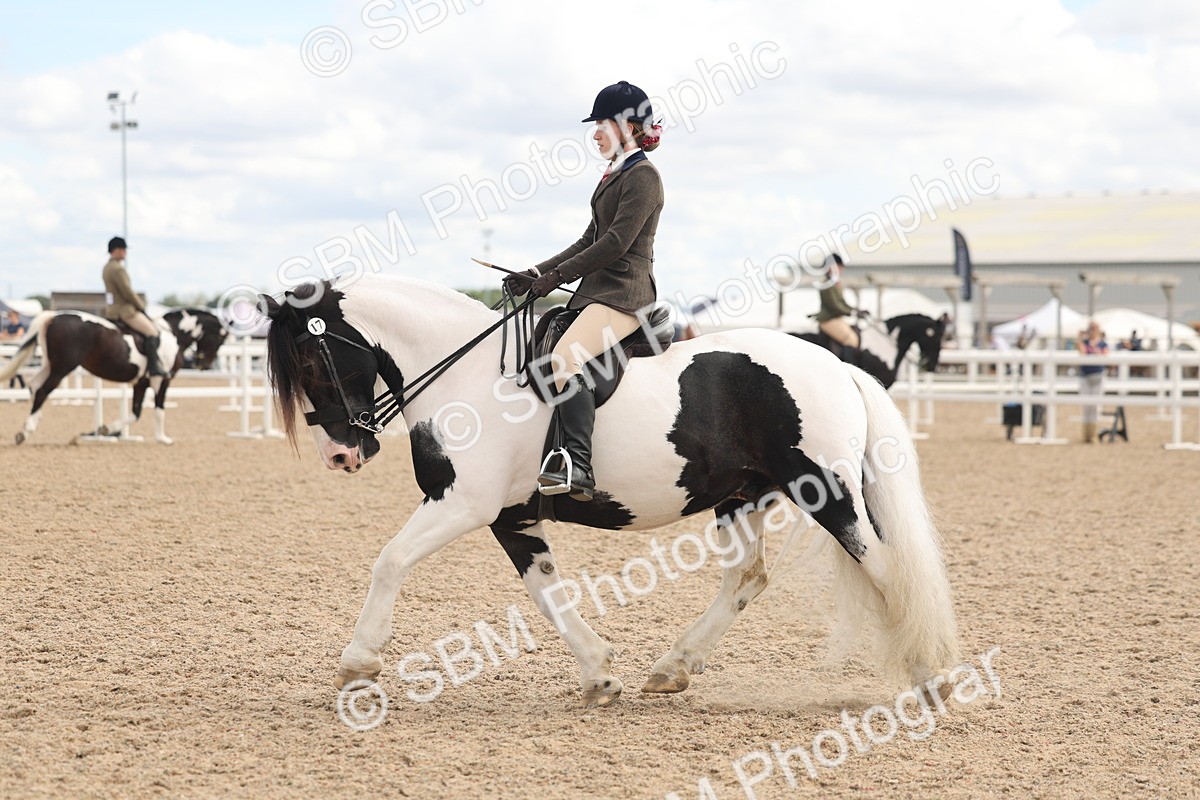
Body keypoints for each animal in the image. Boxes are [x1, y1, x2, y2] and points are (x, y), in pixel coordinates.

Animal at [0, 308, 228, 445]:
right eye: (220, 338)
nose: (205, 365)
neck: (173, 335)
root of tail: (54, 316)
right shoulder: (161, 380)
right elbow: (158, 410)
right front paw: (162, 438)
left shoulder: (141, 383)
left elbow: (136, 412)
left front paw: (106, 429)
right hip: (62, 367)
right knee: (43, 390)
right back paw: (26, 430)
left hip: (50, 364)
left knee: (34, 386)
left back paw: (32, 424)